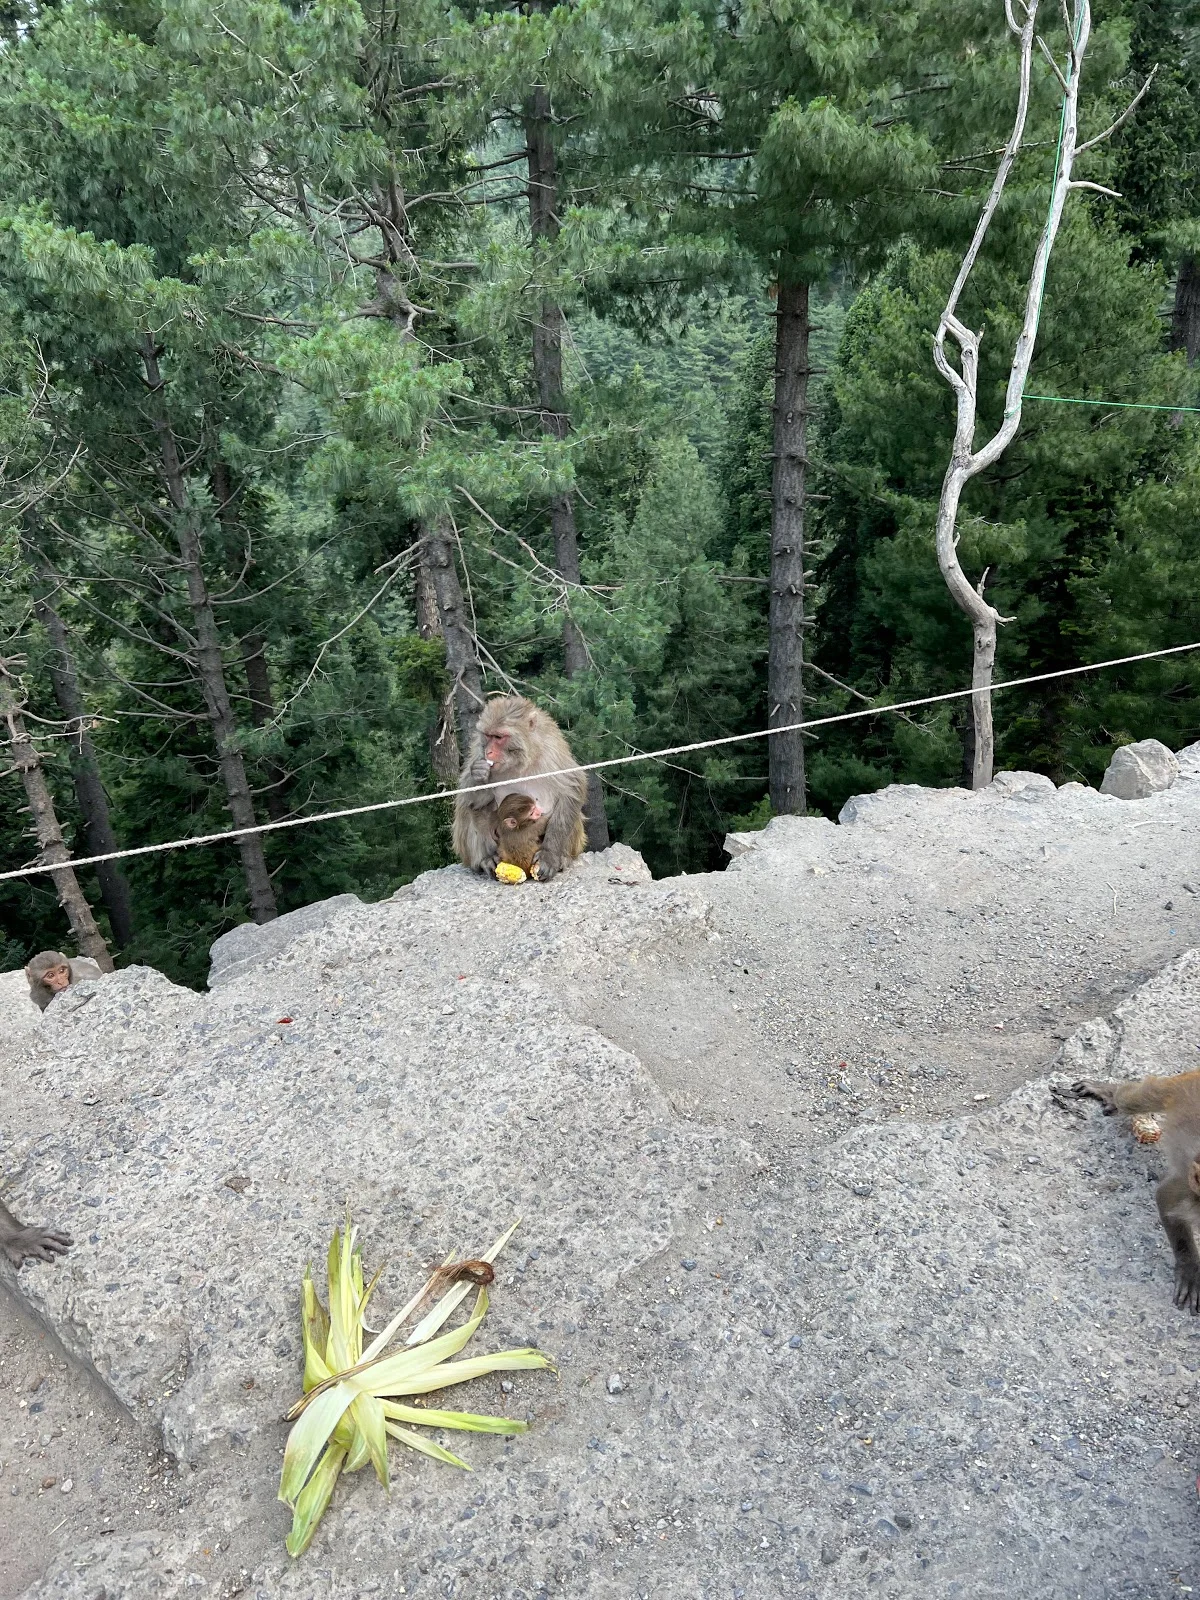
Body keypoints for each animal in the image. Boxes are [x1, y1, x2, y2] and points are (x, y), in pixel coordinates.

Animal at [453, 695, 587, 882]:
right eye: (488, 736)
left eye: (498, 737)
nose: (489, 752)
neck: (520, 760)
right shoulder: (478, 749)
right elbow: (468, 796)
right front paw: (478, 774)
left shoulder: (552, 751)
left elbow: (572, 789)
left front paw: (549, 855)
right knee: (470, 807)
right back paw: (486, 859)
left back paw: (563, 857)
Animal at [1057, 1069, 1200, 1313]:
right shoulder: (1186, 1186)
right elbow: (1166, 1199)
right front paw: (1190, 1269)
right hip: (1173, 1088)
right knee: (1134, 1098)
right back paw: (1109, 1091)